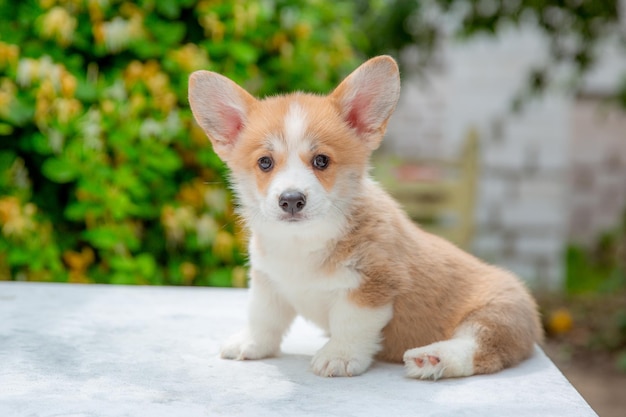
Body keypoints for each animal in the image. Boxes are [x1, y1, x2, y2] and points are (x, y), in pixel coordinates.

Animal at [186, 54, 540, 376]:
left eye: (322, 161)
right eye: (265, 163)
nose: (291, 200)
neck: (303, 242)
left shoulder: (372, 286)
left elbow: (350, 323)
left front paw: (339, 357)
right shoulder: (268, 282)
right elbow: (263, 317)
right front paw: (250, 344)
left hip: (498, 314)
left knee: (480, 348)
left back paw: (433, 359)